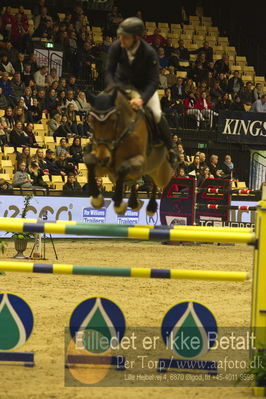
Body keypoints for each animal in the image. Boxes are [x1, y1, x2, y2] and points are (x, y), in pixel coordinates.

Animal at [84, 85, 174, 216]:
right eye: (91, 120)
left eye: (113, 120)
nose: (103, 159)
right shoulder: (102, 167)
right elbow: (89, 161)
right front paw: (97, 199)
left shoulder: (140, 162)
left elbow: (123, 167)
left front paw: (119, 204)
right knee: (134, 182)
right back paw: (134, 202)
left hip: (162, 173)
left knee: (155, 183)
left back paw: (150, 207)